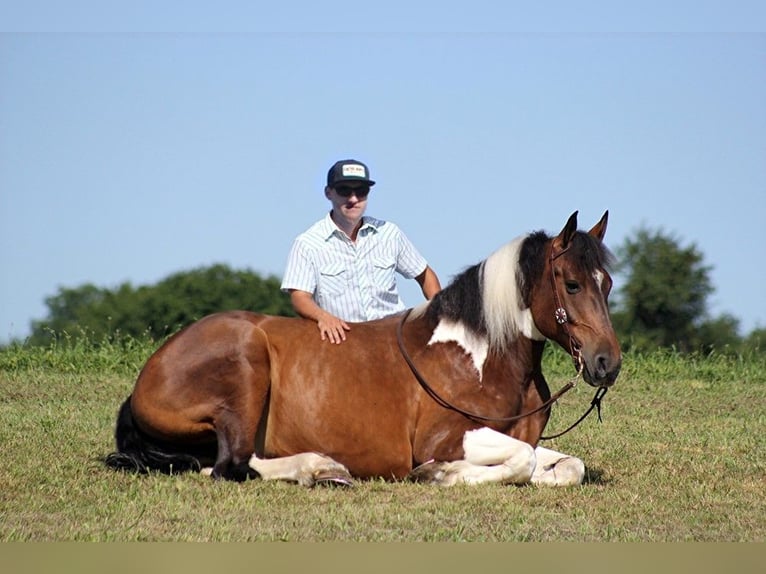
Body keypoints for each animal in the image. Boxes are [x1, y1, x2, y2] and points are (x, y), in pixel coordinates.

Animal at [105, 209, 624, 488]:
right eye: (572, 284)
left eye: (608, 282)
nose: (607, 363)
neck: (479, 356)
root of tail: (147, 377)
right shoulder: (444, 438)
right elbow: (520, 460)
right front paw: (439, 474)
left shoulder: (526, 437)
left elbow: (565, 465)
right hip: (246, 366)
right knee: (229, 465)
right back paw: (317, 467)